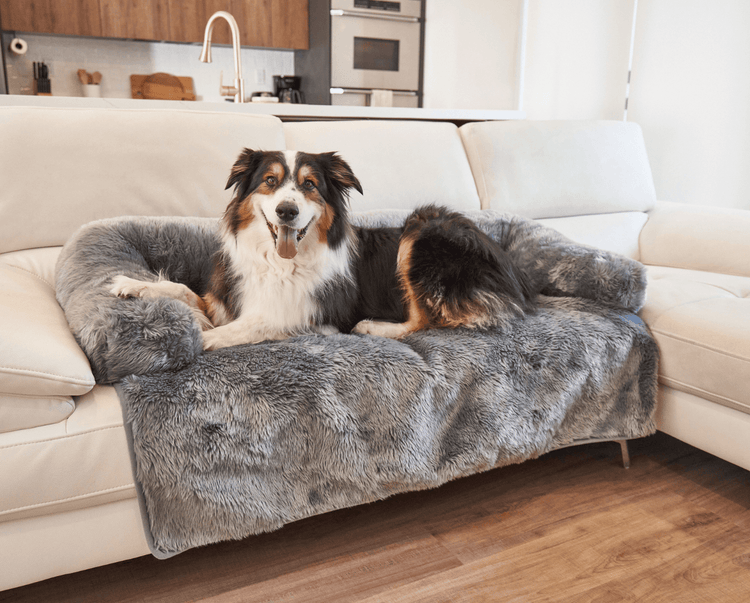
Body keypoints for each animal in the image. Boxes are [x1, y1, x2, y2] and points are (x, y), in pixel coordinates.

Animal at [110, 148, 536, 352]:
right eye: (270, 181)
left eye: (310, 185)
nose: (287, 211)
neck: (277, 262)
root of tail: (515, 277)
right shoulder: (227, 298)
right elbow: (184, 290)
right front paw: (132, 285)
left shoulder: (299, 315)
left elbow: (237, 329)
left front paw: (193, 338)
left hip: (423, 230)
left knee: (425, 321)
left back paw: (372, 327)